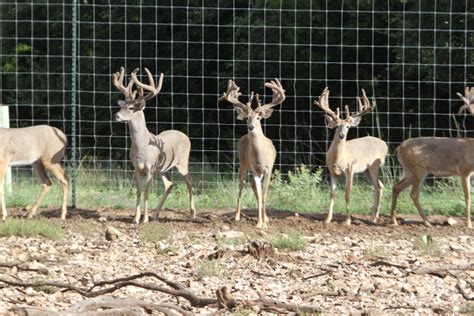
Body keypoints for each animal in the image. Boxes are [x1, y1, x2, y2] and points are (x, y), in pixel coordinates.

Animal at [112, 67, 195, 225]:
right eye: (122, 106)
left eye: (131, 107)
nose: (116, 116)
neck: (142, 147)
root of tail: (185, 135)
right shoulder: (136, 168)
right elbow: (138, 191)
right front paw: (136, 219)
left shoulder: (150, 168)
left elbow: (146, 192)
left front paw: (143, 219)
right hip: (163, 168)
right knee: (170, 184)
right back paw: (155, 215)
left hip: (182, 162)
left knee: (189, 181)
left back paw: (192, 214)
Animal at [218, 78, 286, 228]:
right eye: (247, 118)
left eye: (259, 118)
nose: (251, 127)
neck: (260, 156)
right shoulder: (255, 169)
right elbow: (260, 195)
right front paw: (259, 223)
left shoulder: (268, 169)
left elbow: (264, 195)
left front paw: (264, 222)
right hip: (243, 163)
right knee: (242, 185)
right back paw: (237, 216)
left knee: (253, 186)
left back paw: (266, 218)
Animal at [312, 86, 386, 225]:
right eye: (336, 126)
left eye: (347, 126)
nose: (341, 135)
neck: (338, 159)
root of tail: (385, 144)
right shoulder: (332, 172)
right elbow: (332, 194)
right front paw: (327, 219)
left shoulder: (350, 169)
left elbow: (347, 194)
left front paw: (347, 220)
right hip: (366, 170)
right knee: (379, 186)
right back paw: (373, 217)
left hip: (374, 166)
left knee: (378, 186)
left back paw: (373, 218)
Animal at [388, 87, 474, 228]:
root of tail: (398, 148)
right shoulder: (464, 171)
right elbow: (467, 198)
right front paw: (469, 225)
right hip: (419, 168)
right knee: (414, 193)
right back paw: (427, 222)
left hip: (409, 170)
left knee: (397, 187)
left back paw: (394, 220)